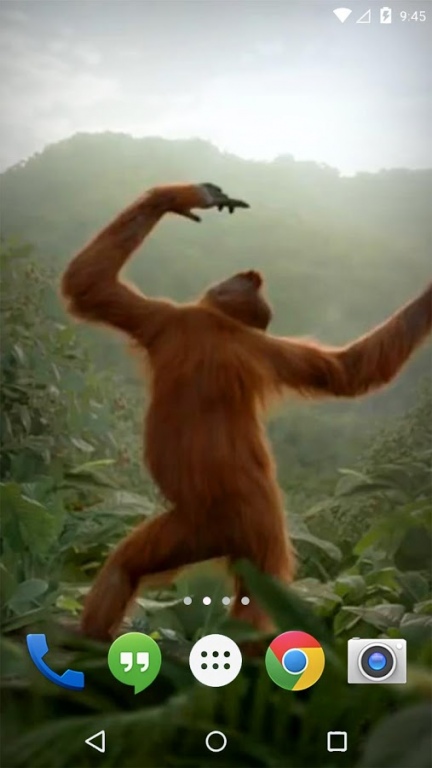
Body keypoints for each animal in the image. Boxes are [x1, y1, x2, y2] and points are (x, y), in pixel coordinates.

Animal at [61, 181, 432, 641]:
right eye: (249, 285)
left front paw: (180, 198)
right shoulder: (216, 331)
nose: (253, 274)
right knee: (227, 588)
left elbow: (89, 284)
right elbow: (348, 372)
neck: (221, 323)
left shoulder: (175, 317)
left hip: (227, 525)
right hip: (232, 526)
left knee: (167, 578)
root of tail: (223, 529)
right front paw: (188, 197)